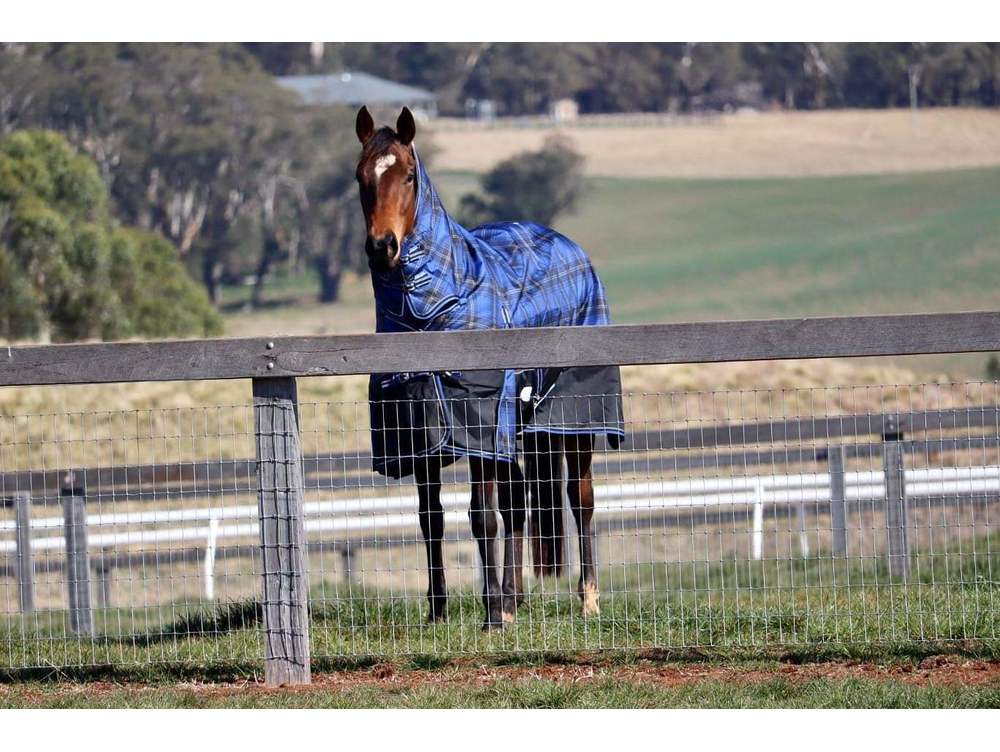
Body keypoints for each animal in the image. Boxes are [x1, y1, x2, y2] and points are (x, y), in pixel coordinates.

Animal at [356, 106, 620, 628]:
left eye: (409, 175)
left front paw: (491, 616)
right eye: (361, 177)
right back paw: (515, 599)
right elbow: (431, 519)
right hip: (519, 427)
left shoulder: (479, 426)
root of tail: (570, 247)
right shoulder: (422, 433)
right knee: (519, 502)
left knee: (580, 499)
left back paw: (586, 599)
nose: (383, 247)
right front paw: (439, 612)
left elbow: (481, 516)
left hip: (572, 420)